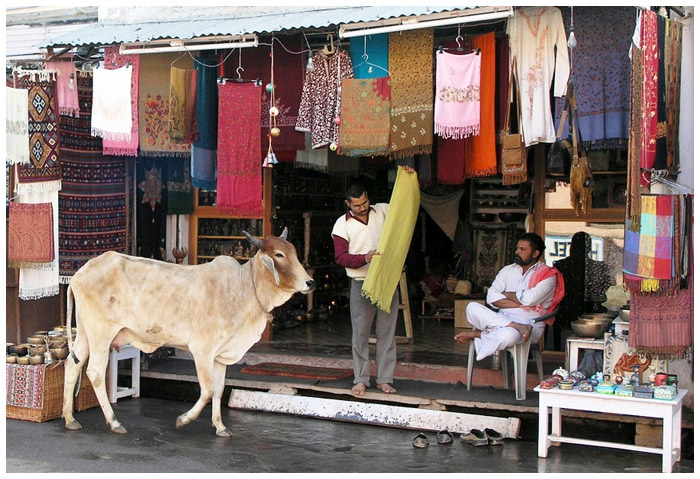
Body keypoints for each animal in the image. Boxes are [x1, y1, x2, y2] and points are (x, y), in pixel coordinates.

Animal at [63, 228, 314, 436]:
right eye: (279, 255)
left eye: (293, 252)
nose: (310, 282)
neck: (244, 288)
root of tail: (79, 274)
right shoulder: (202, 350)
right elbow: (207, 389)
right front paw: (184, 419)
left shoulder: (220, 355)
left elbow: (219, 390)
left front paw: (220, 426)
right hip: (101, 333)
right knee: (95, 372)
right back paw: (114, 422)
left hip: (86, 333)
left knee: (72, 365)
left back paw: (69, 418)